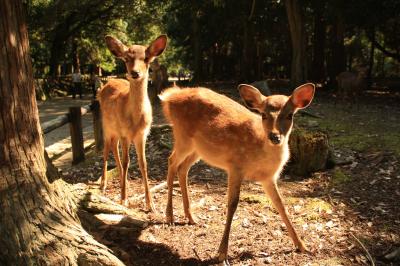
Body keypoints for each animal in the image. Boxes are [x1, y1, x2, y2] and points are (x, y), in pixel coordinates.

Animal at [97, 34, 168, 210]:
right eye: (127, 58)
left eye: (146, 58)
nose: (135, 73)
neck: (135, 120)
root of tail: (105, 84)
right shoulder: (125, 133)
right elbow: (127, 161)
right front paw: (123, 199)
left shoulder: (142, 135)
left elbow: (143, 163)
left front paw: (151, 204)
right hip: (107, 126)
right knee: (106, 150)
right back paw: (103, 184)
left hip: (116, 131)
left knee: (114, 148)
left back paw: (126, 183)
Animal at [159, 82, 316, 262]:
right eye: (263, 115)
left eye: (290, 115)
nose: (275, 137)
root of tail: (170, 96)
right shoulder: (235, 167)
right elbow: (233, 204)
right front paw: (222, 252)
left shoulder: (268, 178)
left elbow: (280, 204)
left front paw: (302, 246)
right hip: (182, 136)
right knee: (171, 161)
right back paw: (170, 216)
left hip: (198, 149)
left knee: (182, 168)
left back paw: (191, 217)